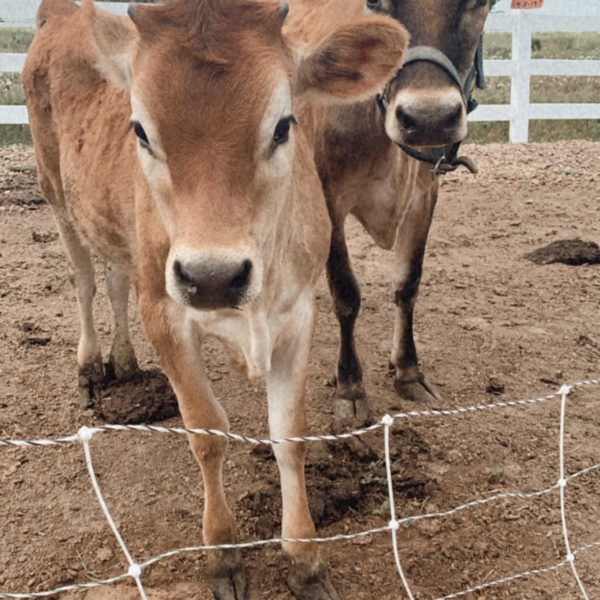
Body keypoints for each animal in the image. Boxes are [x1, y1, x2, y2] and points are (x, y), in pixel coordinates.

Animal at [22, 1, 408, 600]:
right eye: (140, 129)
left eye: (283, 125)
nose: (213, 277)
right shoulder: (164, 312)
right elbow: (206, 433)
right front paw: (224, 556)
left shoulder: (298, 313)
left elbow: (289, 435)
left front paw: (305, 559)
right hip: (55, 192)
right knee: (84, 280)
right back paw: (90, 365)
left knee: (113, 279)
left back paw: (124, 363)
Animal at [284, 0, 488, 422]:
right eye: (376, 3)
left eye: (479, 3)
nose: (428, 118)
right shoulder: (330, 198)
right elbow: (346, 294)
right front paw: (349, 386)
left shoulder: (425, 194)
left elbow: (408, 283)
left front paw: (408, 370)